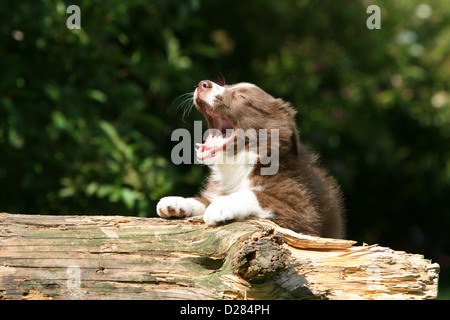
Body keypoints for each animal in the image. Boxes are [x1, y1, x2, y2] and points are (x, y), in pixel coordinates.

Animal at [156, 81, 342, 239]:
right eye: (227, 86)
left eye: (241, 96)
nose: (203, 84)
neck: (239, 167)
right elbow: (203, 200)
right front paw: (176, 201)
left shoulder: (305, 215)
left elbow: (255, 194)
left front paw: (221, 205)